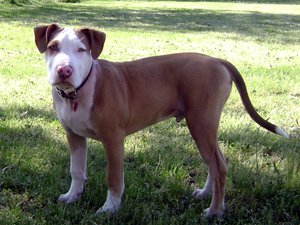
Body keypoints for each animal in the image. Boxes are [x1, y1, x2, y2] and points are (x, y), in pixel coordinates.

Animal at [33, 24, 288, 218]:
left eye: (81, 50)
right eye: (53, 47)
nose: (64, 70)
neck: (80, 90)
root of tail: (217, 60)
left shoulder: (113, 139)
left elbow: (114, 178)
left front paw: (109, 209)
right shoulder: (73, 135)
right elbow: (76, 170)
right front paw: (72, 196)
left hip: (201, 123)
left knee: (219, 167)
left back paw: (214, 211)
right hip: (204, 126)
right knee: (215, 163)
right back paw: (206, 195)